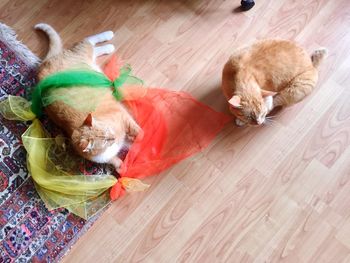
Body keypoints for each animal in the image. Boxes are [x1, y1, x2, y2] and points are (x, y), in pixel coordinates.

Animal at [33, 24, 141, 173]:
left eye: (108, 132)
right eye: (105, 140)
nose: (114, 138)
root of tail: (43, 67)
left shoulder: (123, 116)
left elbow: (137, 131)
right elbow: (118, 162)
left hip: (83, 53)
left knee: (87, 40)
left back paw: (108, 37)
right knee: (92, 47)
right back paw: (109, 46)